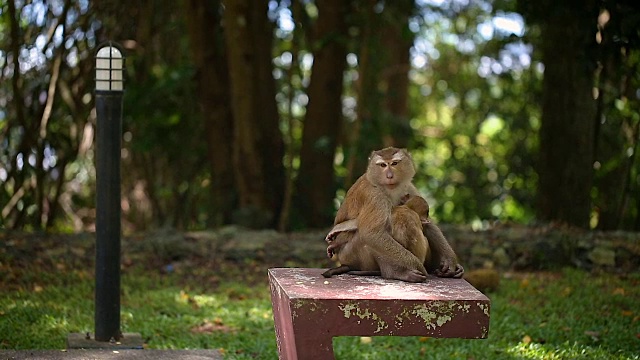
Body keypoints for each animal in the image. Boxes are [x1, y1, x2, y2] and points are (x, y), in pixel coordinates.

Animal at [322, 147, 462, 282]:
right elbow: (372, 234)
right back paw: (396, 273)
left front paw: (450, 261)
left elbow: (428, 224)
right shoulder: (375, 195)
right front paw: (419, 267)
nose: (389, 176)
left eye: (394, 163)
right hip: (353, 255)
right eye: (383, 165)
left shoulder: (408, 187)